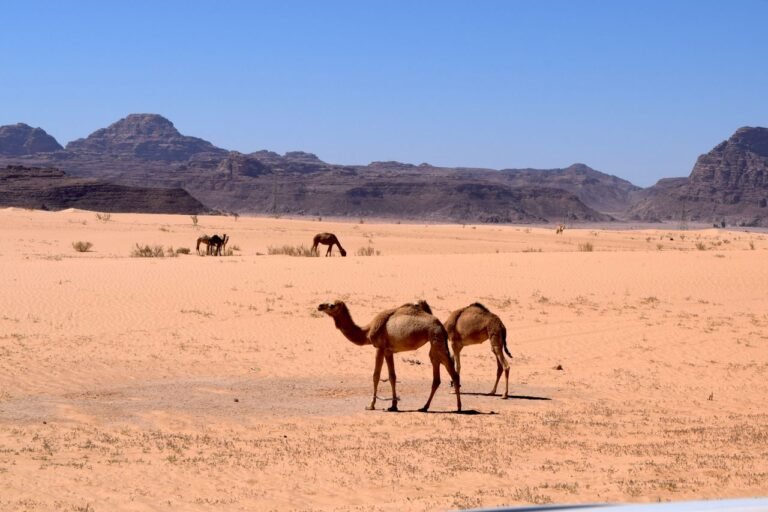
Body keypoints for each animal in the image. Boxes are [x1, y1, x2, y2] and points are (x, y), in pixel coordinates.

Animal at [317, 300, 461, 412]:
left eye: (331, 305)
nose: (319, 306)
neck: (367, 332)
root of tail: (441, 325)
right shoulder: (388, 351)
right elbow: (392, 377)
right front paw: (393, 406)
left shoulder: (380, 348)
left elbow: (376, 376)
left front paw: (371, 405)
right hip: (435, 343)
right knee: (437, 377)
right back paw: (424, 407)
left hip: (436, 340)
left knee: (452, 374)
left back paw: (458, 408)